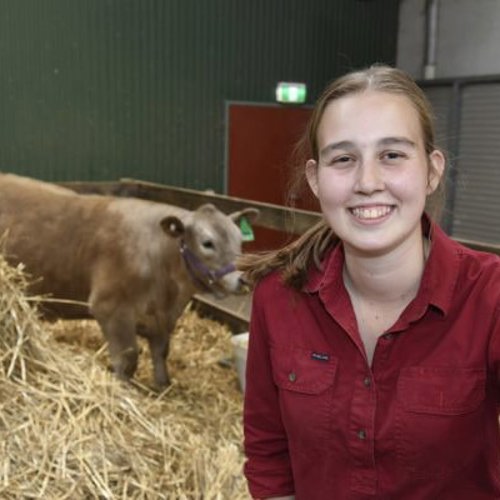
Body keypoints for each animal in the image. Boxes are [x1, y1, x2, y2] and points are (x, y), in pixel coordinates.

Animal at [0, 174, 258, 388]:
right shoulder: (111, 309)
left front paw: (163, 385)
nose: (242, 280)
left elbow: (161, 352)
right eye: (207, 243)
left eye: (240, 240)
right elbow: (128, 358)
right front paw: (123, 389)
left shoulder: (162, 320)